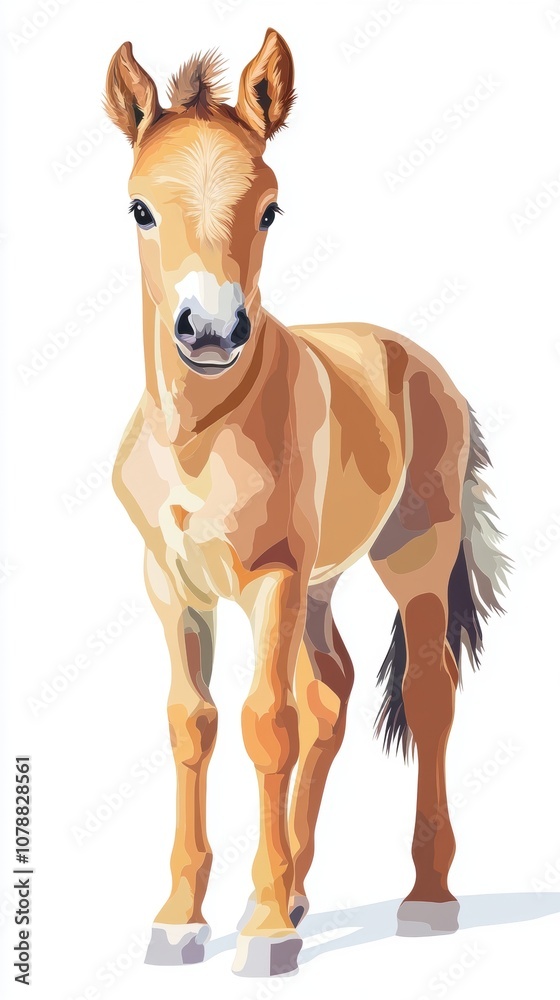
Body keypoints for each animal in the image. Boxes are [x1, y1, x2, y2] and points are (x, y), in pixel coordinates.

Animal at [105, 29, 509, 977]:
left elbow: (267, 723)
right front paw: (181, 921)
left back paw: (425, 899)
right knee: (333, 689)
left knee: (428, 692)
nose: (212, 332)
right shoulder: (171, 584)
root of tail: (418, 360)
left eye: (270, 210)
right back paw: (294, 886)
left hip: (412, 559)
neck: (202, 437)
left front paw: (263, 934)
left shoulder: (272, 578)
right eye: (140, 208)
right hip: (324, 582)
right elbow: (193, 724)